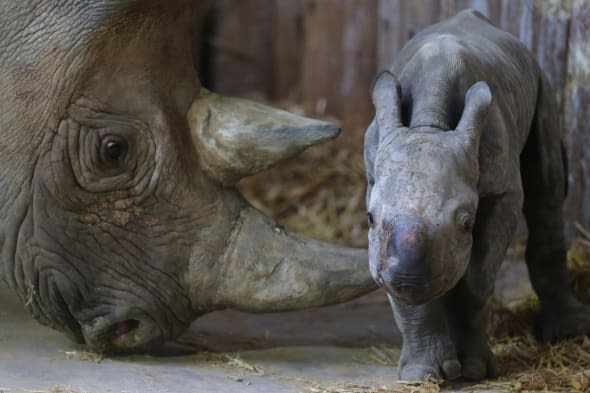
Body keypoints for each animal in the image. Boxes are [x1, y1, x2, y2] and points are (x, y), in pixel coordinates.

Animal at [366, 9, 590, 382]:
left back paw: (568, 330)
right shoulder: (374, 178)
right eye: (369, 218)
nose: (408, 277)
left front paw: (474, 371)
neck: (430, 125)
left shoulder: (503, 192)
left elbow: (477, 281)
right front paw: (422, 375)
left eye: (467, 223)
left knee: (546, 188)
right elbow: (407, 297)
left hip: (541, 82)